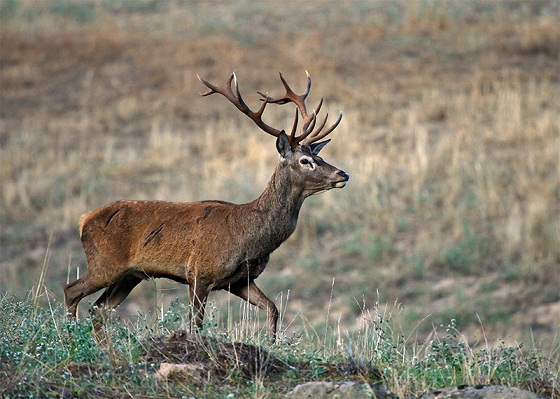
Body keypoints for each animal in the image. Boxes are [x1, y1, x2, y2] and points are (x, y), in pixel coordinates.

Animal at [63, 71, 348, 340]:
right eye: (304, 161)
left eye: (319, 156)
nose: (343, 174)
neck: (248, 236)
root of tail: (84, 219)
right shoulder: (200, 273)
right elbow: (195, 325)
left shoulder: (241, 281)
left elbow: (273, 308)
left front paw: (271, 342)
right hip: (104, 263)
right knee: (71, 291)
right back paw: (70, 337)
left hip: (129, 275)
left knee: (98, 310)